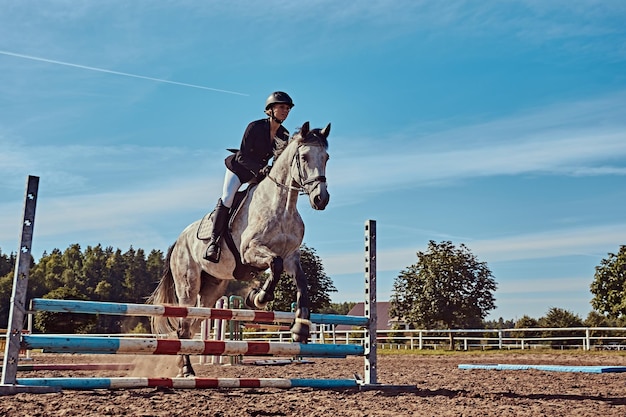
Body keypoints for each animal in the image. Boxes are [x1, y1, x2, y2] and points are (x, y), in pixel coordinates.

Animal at [148, 121, 330, 376]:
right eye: (303, 157)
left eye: (326, 157)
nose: (321, 199)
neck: (282, 206)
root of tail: (178, 241)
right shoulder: (250, 252)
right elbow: (275, 265)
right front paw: (258, 298)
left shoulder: (292, 256)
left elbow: (302, 285)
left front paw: (300, 330)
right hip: (188, 285)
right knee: (184, 326)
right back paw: (186, 370)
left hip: (212, 289)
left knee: (193, 324)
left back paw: (185, 366)